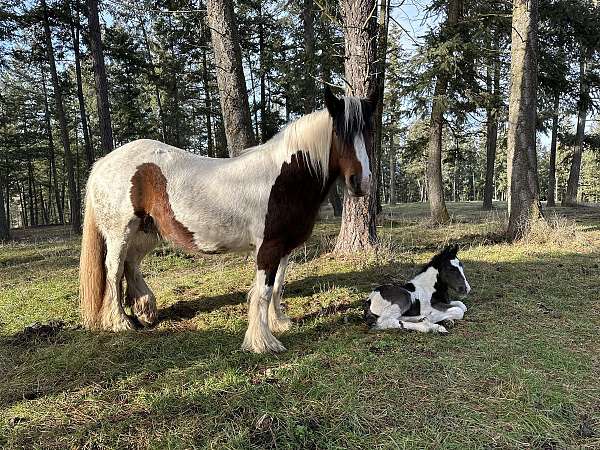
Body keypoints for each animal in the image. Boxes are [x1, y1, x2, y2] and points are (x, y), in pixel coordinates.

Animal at [78, 86, 378, 354]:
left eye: (369, 131)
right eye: (339, 132)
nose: (361, 183)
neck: (284, 179)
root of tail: (103, 163)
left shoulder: (284, 248)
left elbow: (277, 286)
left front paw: (279, 323)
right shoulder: (268, 248)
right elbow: (263, 292)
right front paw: (263, 343)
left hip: (146, 232)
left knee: (132, 264)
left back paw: (145, 311)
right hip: (120, 233)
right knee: (114, 270)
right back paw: (119, 322)